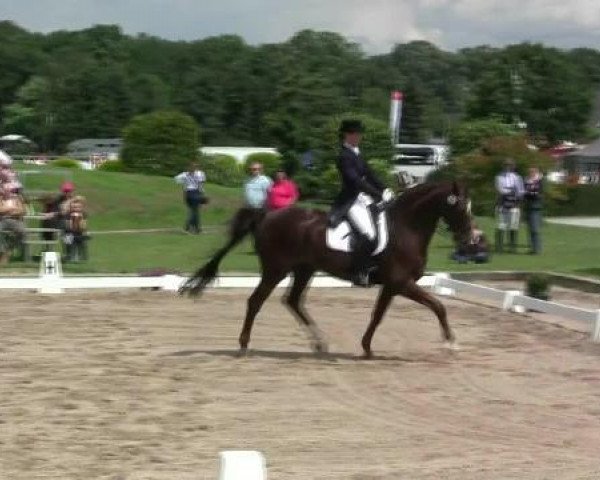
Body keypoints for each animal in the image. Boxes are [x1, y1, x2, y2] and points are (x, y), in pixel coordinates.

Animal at [180, 180, 472, 356]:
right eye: (460, 207)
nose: (471, 239)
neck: (406, 227)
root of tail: (266, 214)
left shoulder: (392, 285)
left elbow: (377, 316)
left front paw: (367, 348)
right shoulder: (402, 283)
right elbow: (438, 306)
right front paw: (452, 342)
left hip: (304, 269)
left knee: (293, 301)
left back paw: (320, 343)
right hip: (276, 269)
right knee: (256, 301)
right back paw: (243, 346)